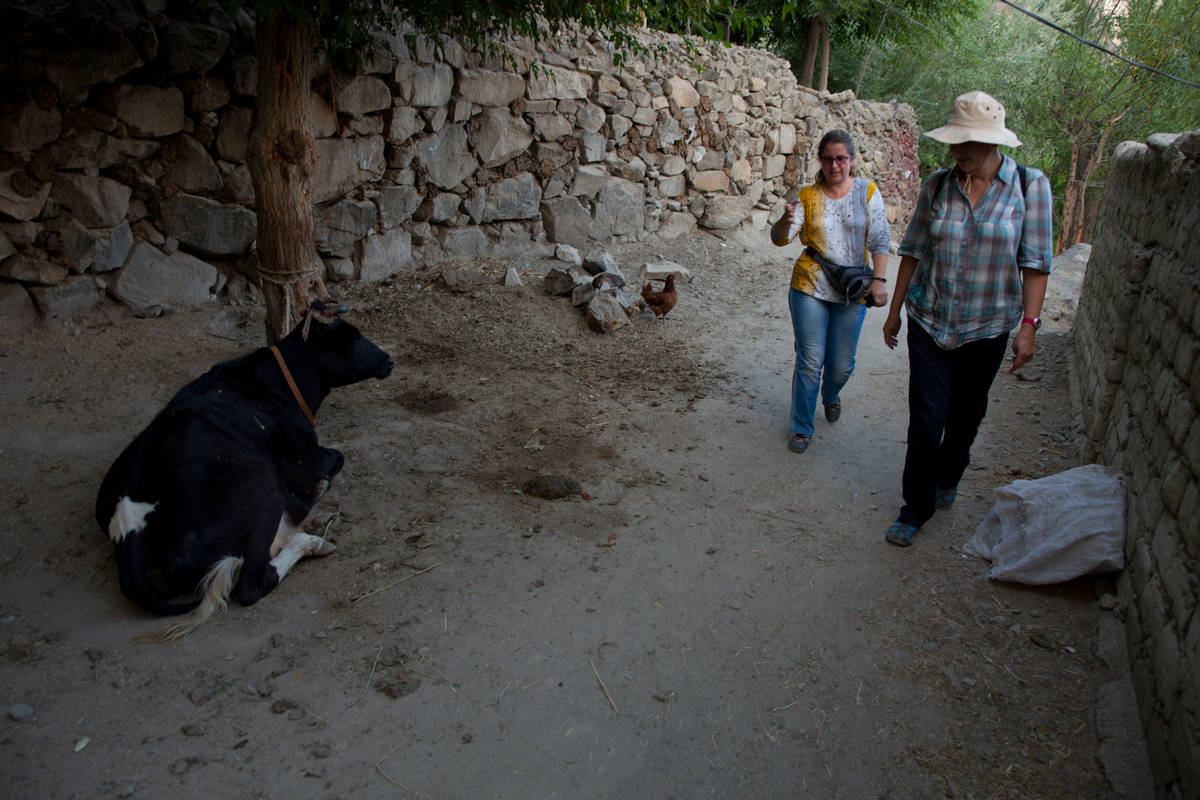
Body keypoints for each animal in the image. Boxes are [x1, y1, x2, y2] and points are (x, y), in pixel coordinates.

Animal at [96, 297, 393, 642]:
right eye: (351, 336)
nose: (388, 360)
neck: (272, 382)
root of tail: (128, 530)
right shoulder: (311, 458)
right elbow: (335, 461)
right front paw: (317, 491)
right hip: (262, 490)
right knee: (251, 584)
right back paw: (313, 539)